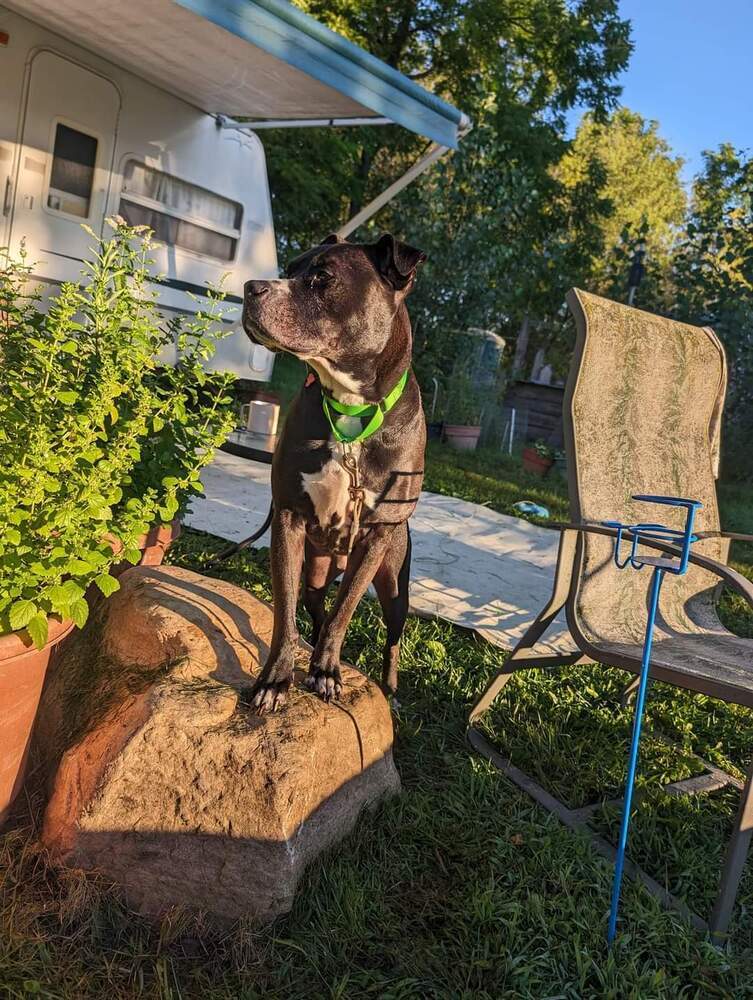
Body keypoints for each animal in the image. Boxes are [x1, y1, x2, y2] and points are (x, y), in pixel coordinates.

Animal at [244, 232, 426, 712]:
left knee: (390, 636)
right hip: (317, 570)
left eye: (322, 278)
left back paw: (390, 687)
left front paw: (326, 672)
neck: (349, 408)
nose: (251, 287)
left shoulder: (377, 537)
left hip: (394, 582)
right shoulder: (288, 519)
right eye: (289, 269)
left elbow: (345, 614)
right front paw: (277, 678)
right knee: (316, 608)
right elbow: (285, 613)